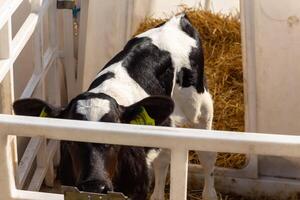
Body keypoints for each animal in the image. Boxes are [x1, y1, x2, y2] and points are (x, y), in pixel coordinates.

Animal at [12, 14, 216, 200]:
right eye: (71, 140)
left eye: (117, 137)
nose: (94, 187)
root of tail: (177, 20)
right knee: (164, 158)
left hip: (200, 107)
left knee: (207, 155)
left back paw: (210, 194)